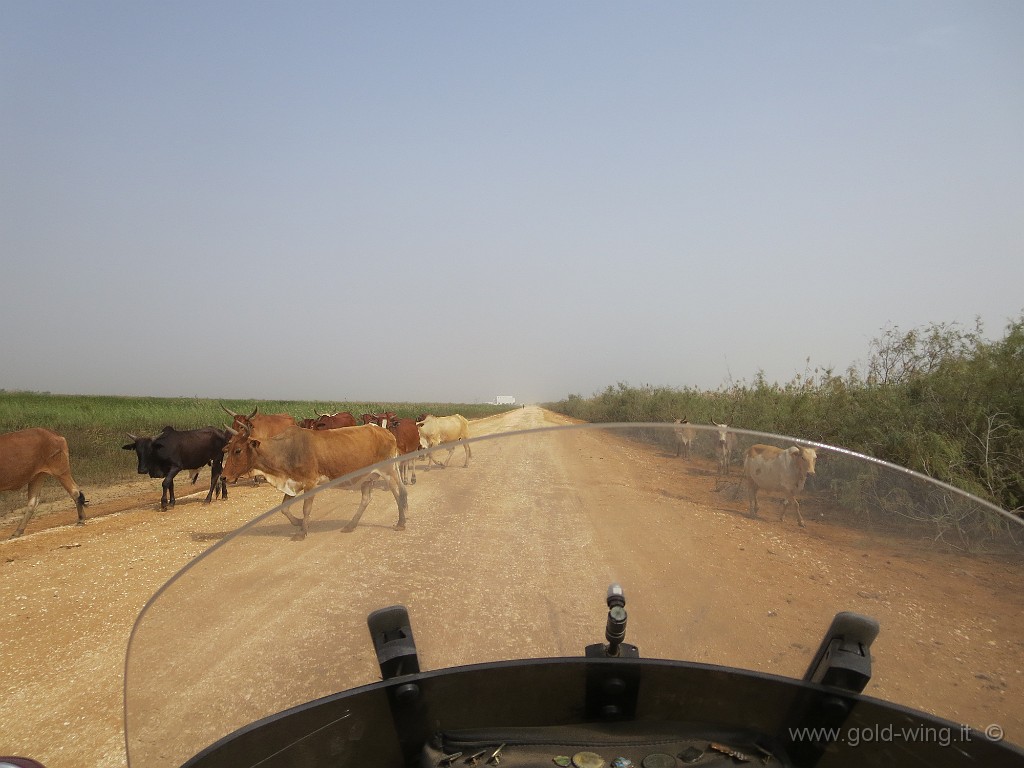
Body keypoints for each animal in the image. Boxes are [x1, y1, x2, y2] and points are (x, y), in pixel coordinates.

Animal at [222, 423, 405, 536]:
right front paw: (298, 522)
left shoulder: (310, 483)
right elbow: (284, 508)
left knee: (398, 494)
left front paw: (302, 532)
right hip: (367, 478)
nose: (223, 477)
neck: (287, 450)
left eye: (238, 450)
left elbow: (306, 508)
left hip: (389, 471)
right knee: (367, 499)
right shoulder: (294, 483)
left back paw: (401, 523)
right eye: (228, 449)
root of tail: (386, 432)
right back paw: (351, 525)